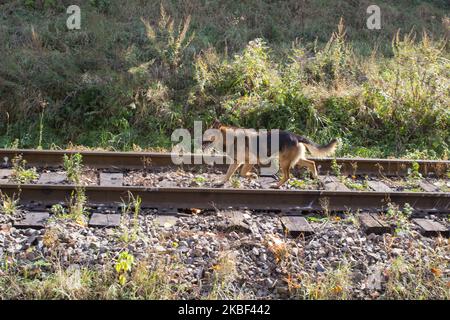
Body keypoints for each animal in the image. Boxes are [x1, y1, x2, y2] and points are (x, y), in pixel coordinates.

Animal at [201, 121, 338, 189]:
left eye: (206, 135)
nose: (199, 142)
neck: (230, 138)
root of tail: (296, 136)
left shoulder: (249, 161)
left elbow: (241, 173)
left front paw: (252, 176)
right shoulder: (237, 162)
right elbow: (229, 174)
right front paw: (221, 182)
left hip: (283, 161)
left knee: (287, 176)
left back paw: (276, 185)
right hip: (295, 159)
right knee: (311, 162)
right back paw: (315, 176)